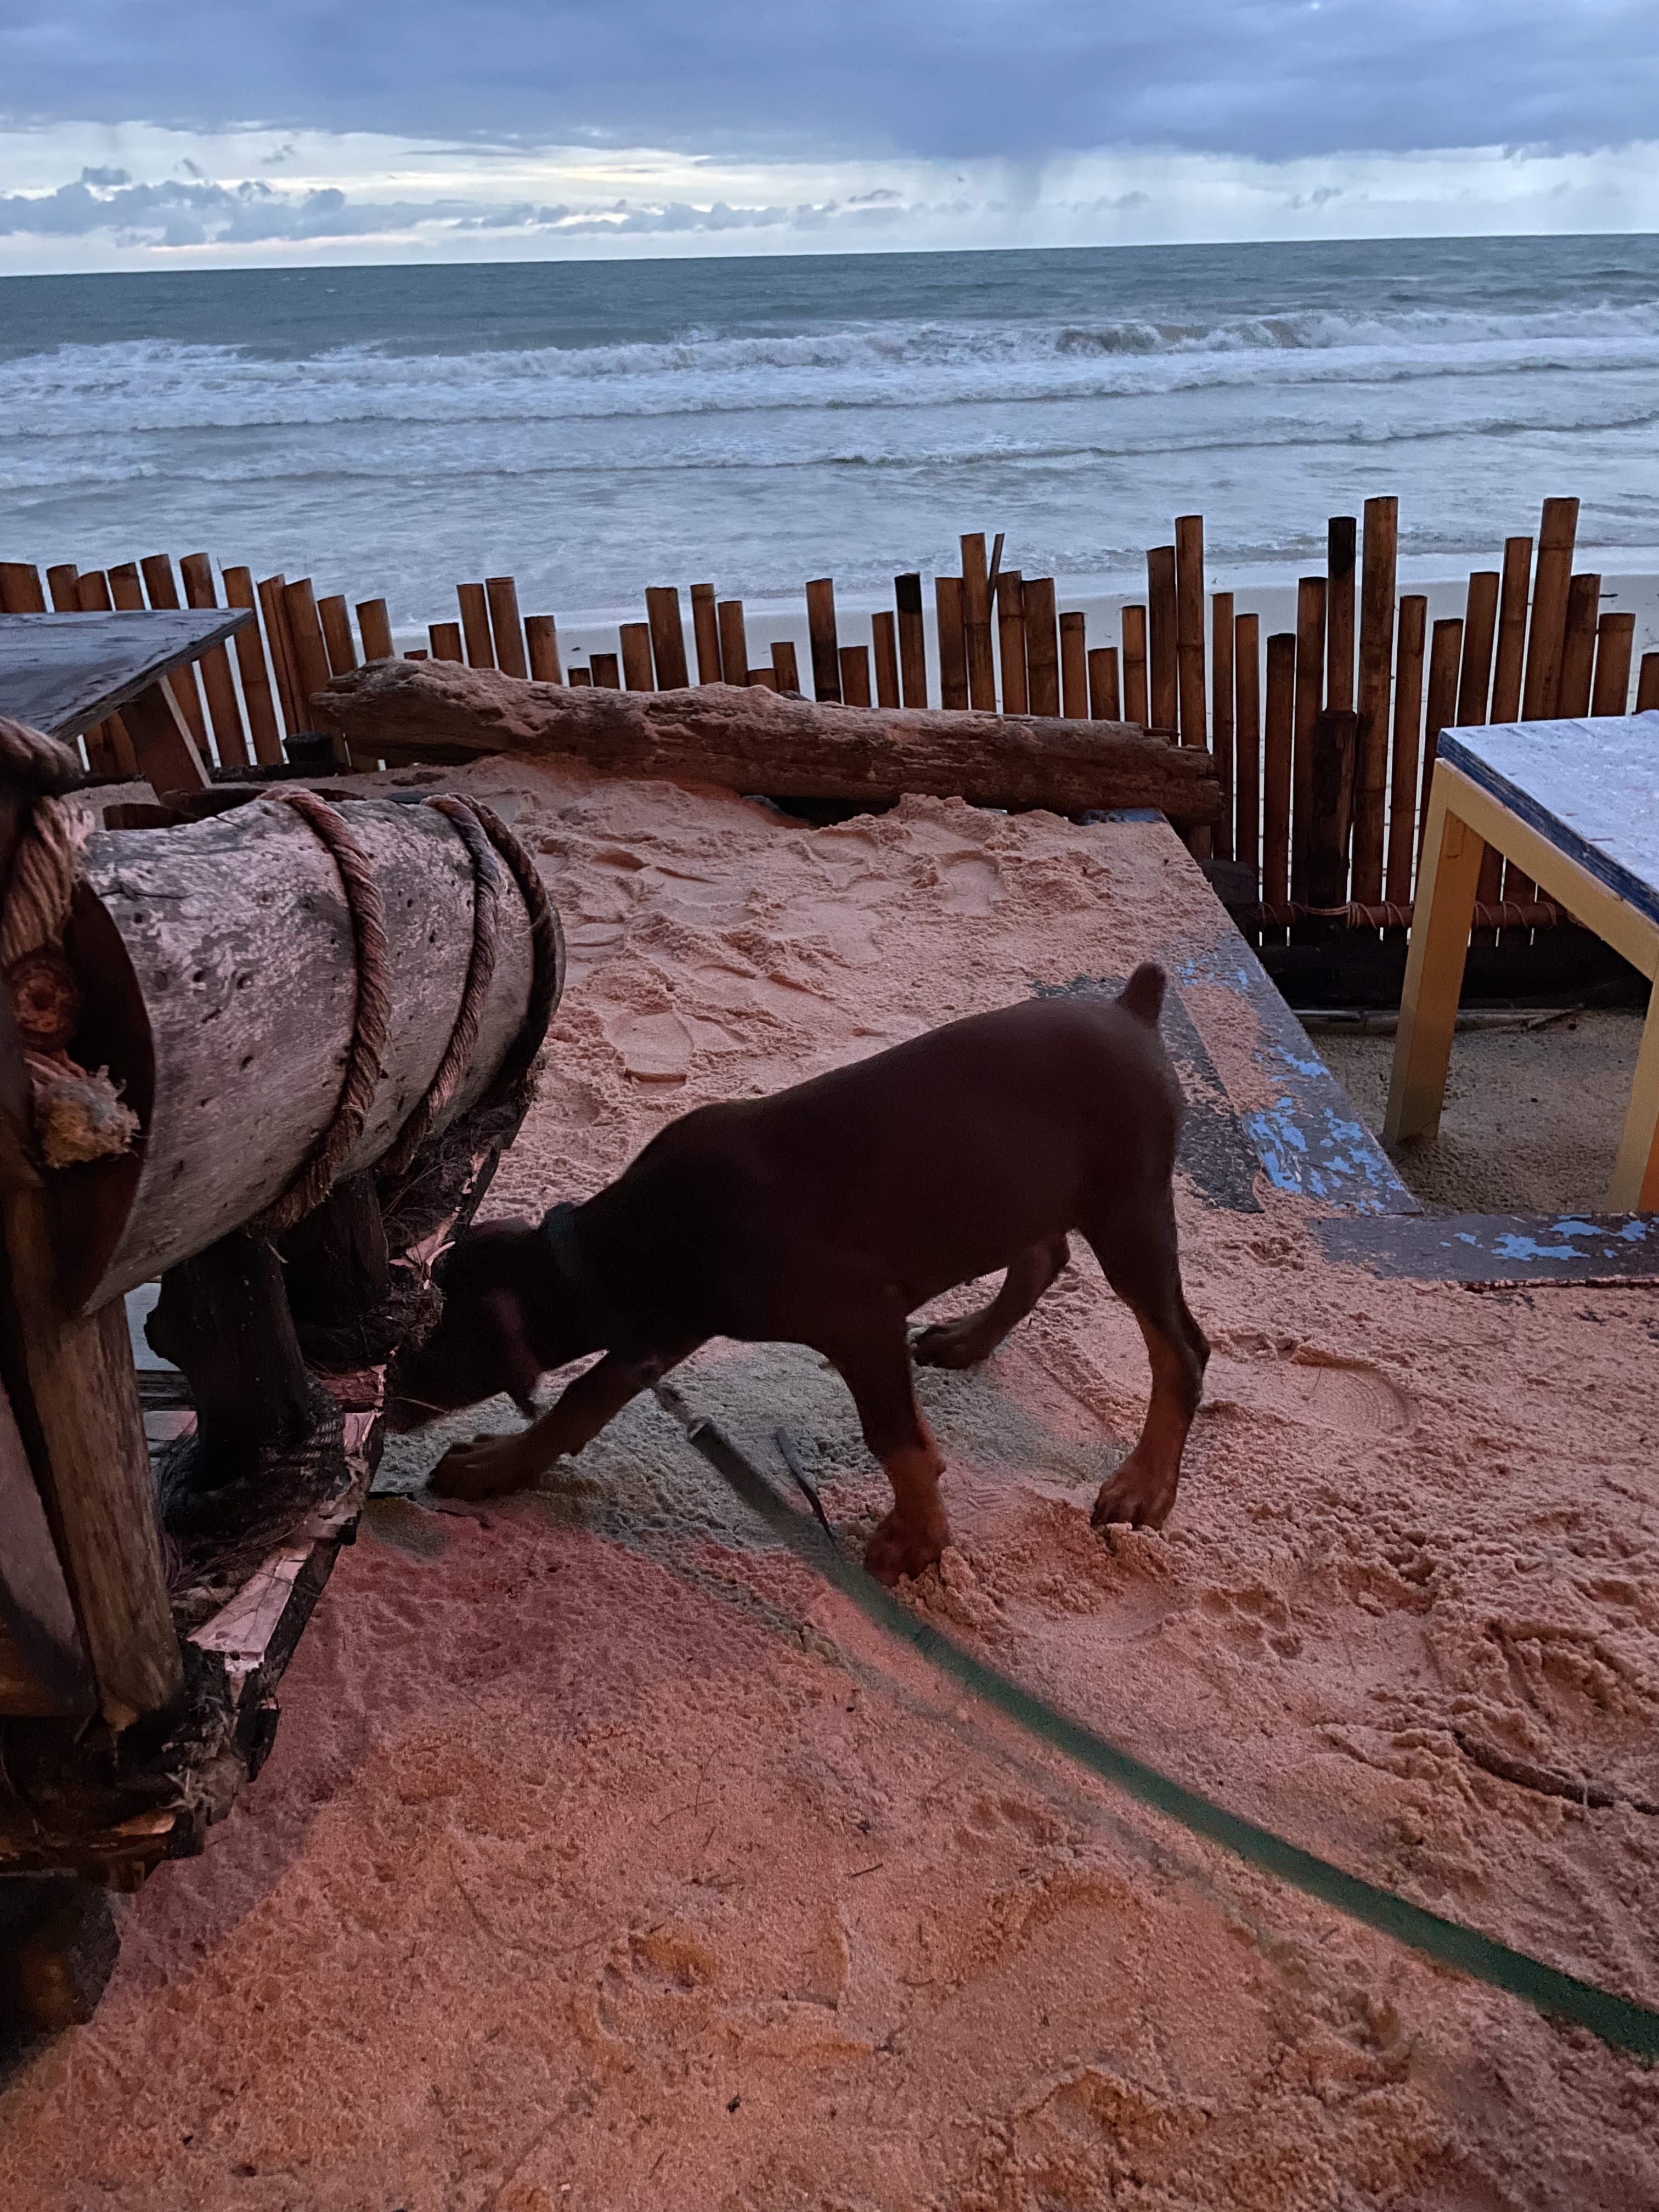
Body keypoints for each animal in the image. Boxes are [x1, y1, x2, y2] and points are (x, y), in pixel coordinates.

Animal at [389, 964, 1208, 1584]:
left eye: (419, 1345)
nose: (381, 1412)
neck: (616, 1247)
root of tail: (1134, 1008)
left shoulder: (859, 1315)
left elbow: (895, 1438)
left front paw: (918, 1536)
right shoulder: (664, 1324)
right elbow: (583, 1398)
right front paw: (500, 1463)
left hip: (1128, 1206)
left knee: (1181, 1348)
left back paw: (1143, 1485)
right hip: (1025, 1186)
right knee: (1043, 1256)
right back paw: (969, 1340)